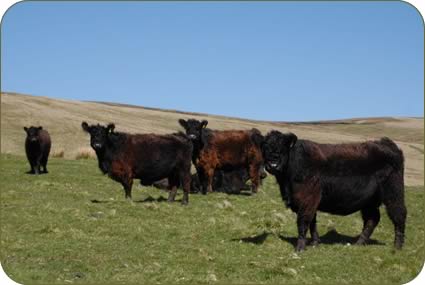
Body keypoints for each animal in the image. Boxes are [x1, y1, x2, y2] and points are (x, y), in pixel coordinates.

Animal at [262, 130, 404, 250]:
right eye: (266, 146)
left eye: (283, 146)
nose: (273, 158)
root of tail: (386, 143)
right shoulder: (310, 202)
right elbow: (312, 222)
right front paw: (315, 243)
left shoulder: (307, 200)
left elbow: (303, 222)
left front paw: (300, 247)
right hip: (369, 201)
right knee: (372, 219)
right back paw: (359, 243)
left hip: (394, 194)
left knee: (399, 215)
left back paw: (397, 246)